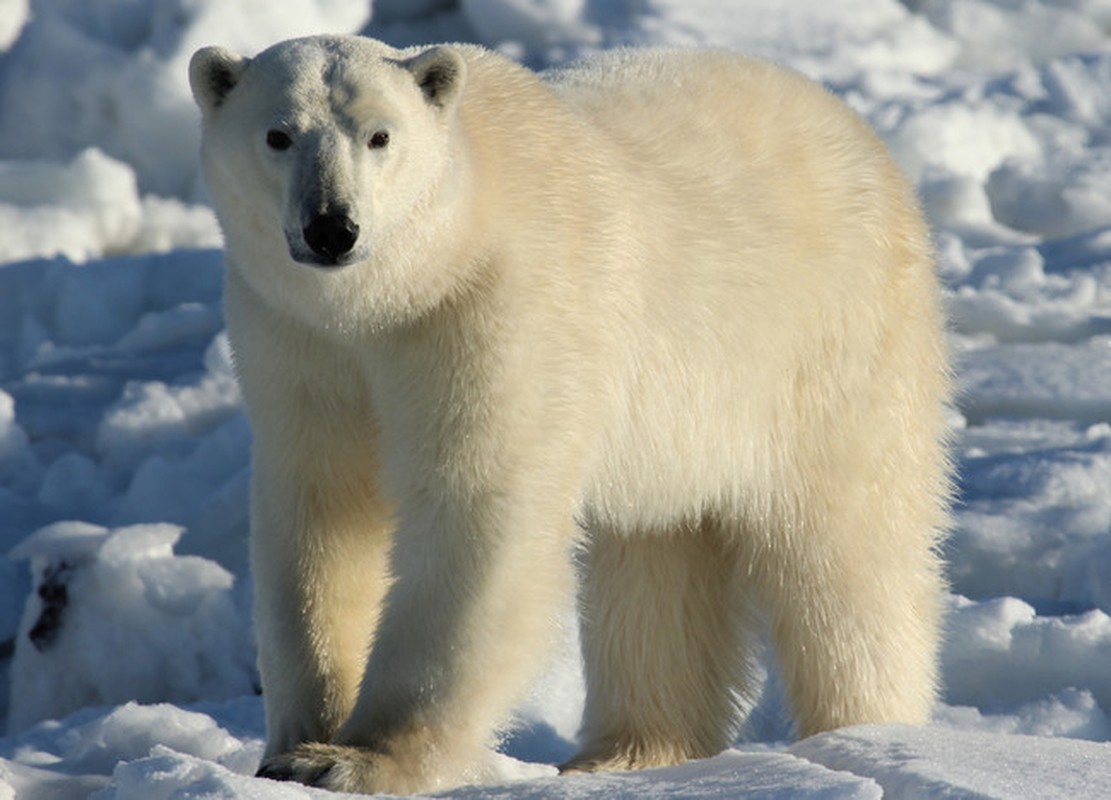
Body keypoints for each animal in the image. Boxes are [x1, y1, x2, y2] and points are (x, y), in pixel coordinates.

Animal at [186, 35, 951, 795]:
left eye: (379, 136)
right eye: (278, 135)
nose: (331, 228)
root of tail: (854, 129)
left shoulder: (492, 312)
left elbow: (475, 512)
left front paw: (356, 759)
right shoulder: (298, 339)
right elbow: (322, 513)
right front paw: (296, 743)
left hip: (828, 346)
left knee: (845, 553)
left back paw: (864, 735)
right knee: (656, 561)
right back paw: (628, 753)